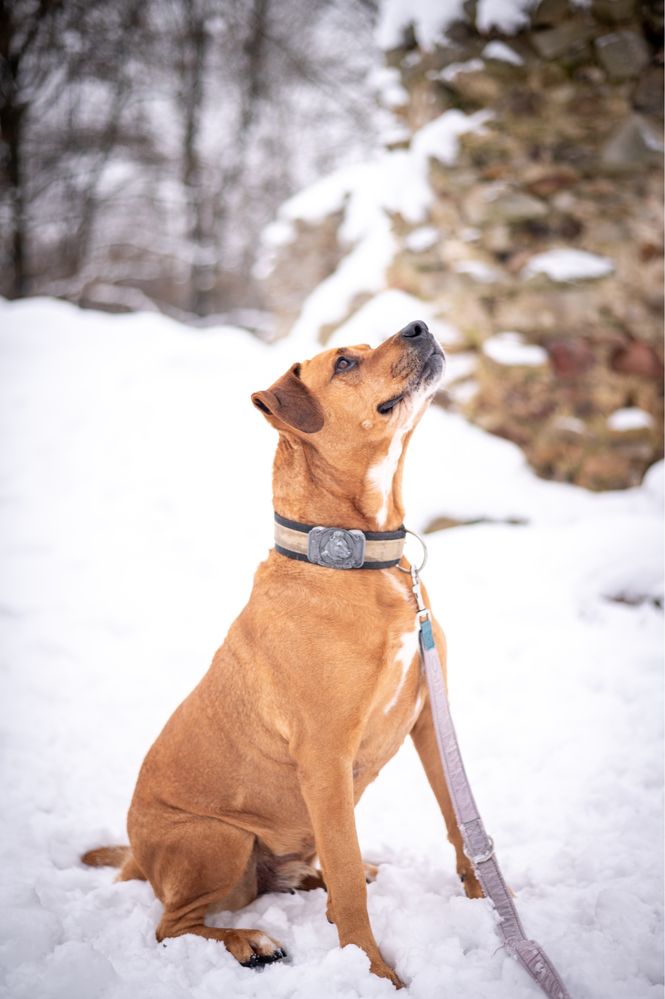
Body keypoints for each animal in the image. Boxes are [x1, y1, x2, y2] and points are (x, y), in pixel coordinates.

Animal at [83, 318, 480, 984]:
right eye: (344, 362)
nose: (419, 324)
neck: (353, 558)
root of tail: (138, 856)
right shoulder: (324, 757)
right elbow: (349, 885)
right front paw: (373, 971)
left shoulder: (431, 718)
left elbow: (459, 820)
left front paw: (488, 903)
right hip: (218, 840)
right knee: (172, 925)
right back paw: (249, 941)